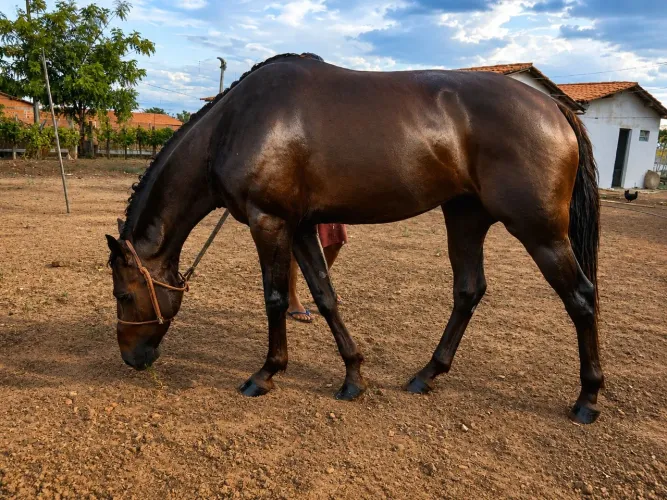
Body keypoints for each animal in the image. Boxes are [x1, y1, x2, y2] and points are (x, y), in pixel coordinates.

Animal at [106, 53, 603, 424]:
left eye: (124, 296)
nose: (131, 357)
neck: (234, 124)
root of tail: (553, 107)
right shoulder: (301, 226)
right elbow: (325, 296)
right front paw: (353, 377)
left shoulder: (269, 222)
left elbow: (274, 298)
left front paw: (266, 374)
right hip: (465, 217)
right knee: (468, 290)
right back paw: (427, 374)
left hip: (539, 231)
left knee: (581, 297)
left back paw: (588, 399)